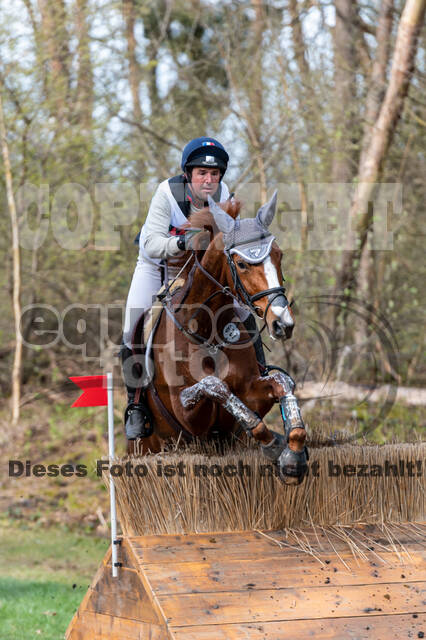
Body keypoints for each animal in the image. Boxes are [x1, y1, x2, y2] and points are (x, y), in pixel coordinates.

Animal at [128, 190, 308, 484]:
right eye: (242, 264)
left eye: (279, 256)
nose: (283, 323)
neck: (207, 330)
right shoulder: (188, 415)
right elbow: (216, 385)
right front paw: (273, 446)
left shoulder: (251, 391)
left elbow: (282, 383)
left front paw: (293, 454)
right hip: (149, 445)